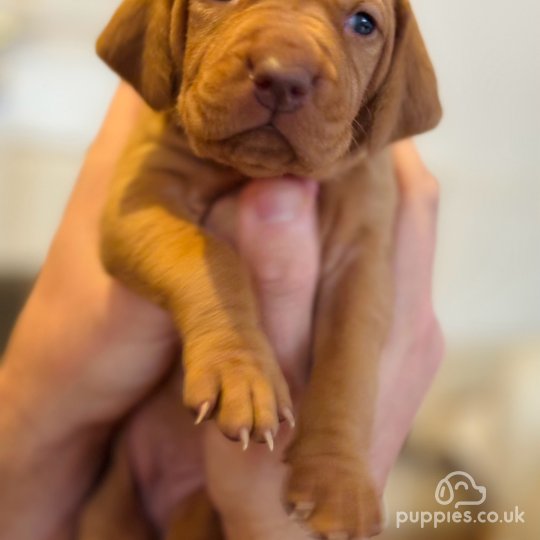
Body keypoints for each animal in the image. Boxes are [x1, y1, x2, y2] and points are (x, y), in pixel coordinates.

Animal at [85, 2, 438, 536]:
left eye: (363, 23)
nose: (283, 77)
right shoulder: (140, 198)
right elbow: (208, 255)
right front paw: (241, 372)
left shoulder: (363, 250)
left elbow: (348, 362)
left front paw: (338, 480)